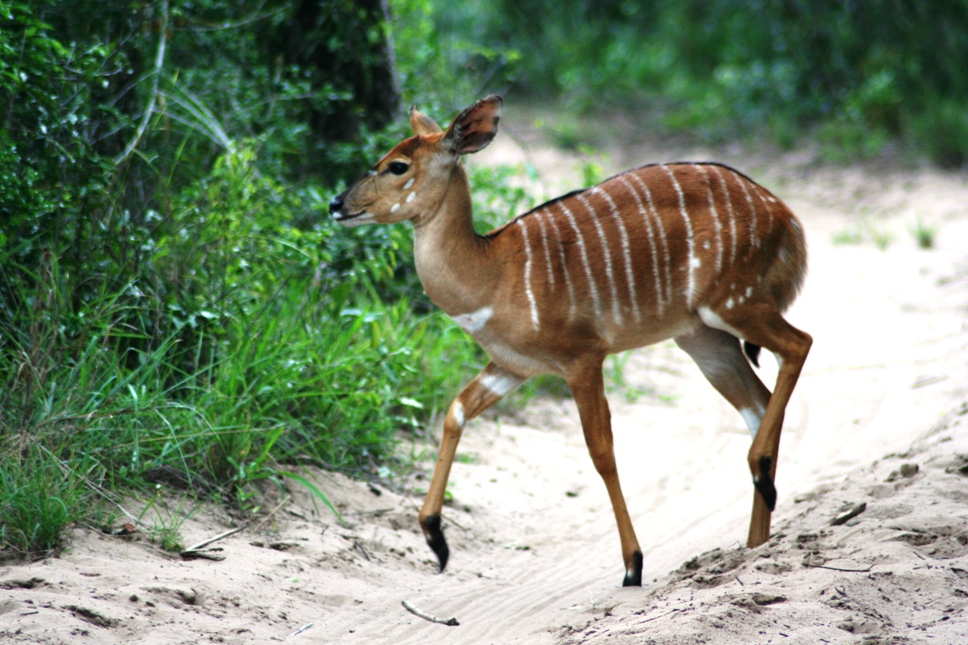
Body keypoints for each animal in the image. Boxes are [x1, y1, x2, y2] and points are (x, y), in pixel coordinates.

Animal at [328, 95, 812, 584]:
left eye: (397, 166)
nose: (336, 203)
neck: (493, 274)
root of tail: (788, 219)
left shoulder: (582, 356)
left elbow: (601, 451)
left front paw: (633, 566)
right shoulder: (513, 365)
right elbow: (456, 411)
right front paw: (435, 540)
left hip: (735, 303)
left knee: (798, 344)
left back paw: (761, 473)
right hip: (702, 338)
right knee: (758, 401)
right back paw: (755, 541)